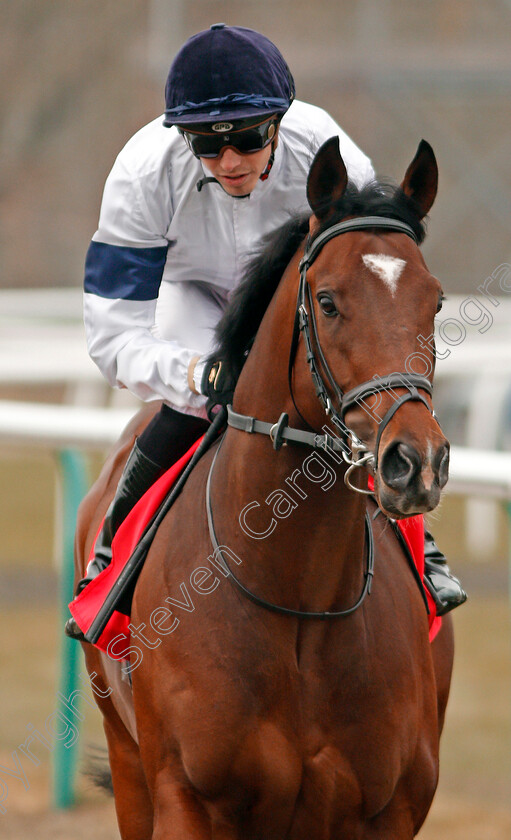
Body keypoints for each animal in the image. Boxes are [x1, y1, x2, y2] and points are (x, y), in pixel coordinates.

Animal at [77, 139, 456, 840]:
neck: (298, 599)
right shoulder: (185, 797)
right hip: (126, 761)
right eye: (328, 301)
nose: (415, 463)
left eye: (436, 301)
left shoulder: (392, 807)